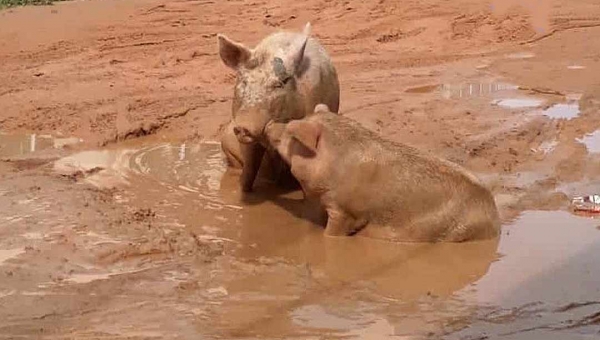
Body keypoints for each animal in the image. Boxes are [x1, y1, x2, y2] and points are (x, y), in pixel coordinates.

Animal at [268, 103, 502, 242]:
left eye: (291, 132)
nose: (269, 123)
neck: (335, 163)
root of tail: (495, 220)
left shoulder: (344, 210)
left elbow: (333, 232)